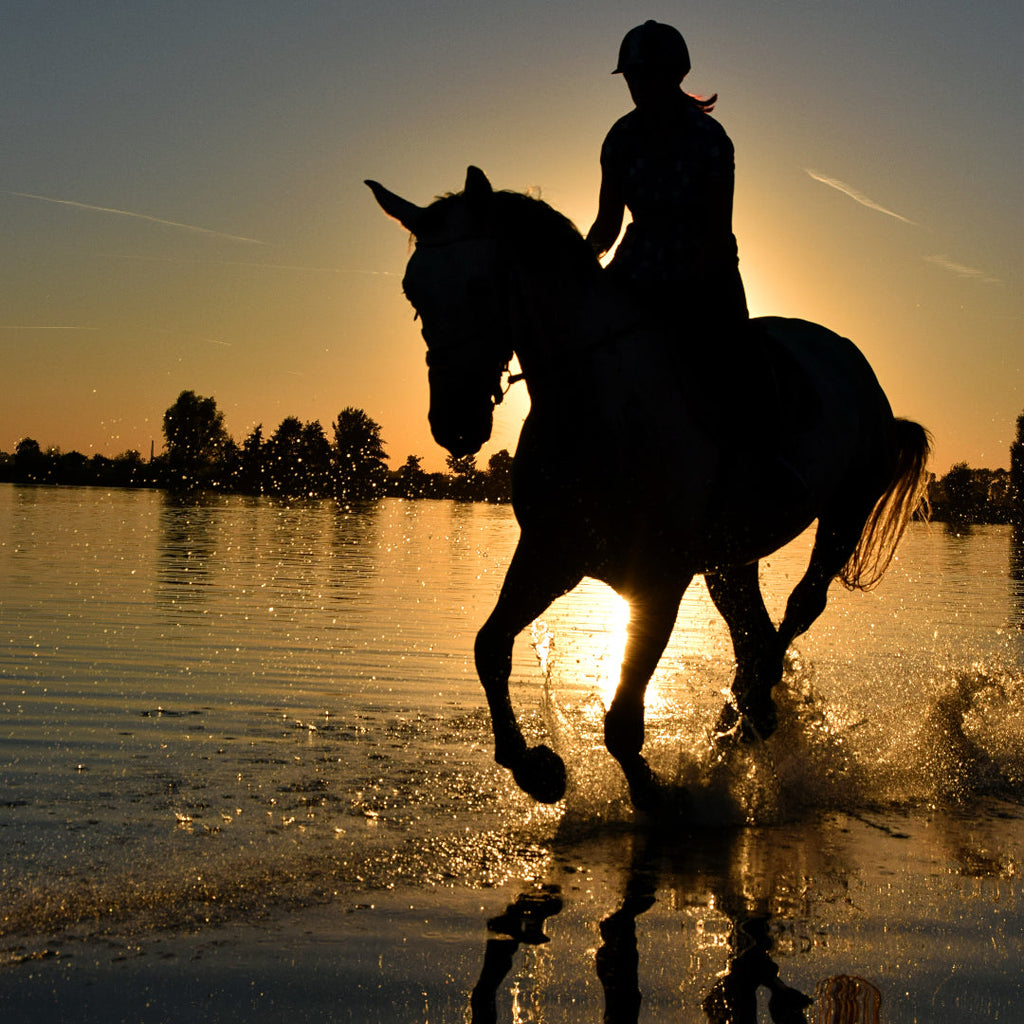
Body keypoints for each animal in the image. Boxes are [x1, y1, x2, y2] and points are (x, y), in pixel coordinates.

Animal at [370, 165, 937, 806]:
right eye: (413, 292)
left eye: (480, 286)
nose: (455, 424)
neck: (598, 408)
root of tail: (850, 358)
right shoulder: (550, 556)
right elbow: (488, 648)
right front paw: (537, 769)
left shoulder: (658, 580)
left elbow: (622, 721)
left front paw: (658, 798)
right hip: (730, 559)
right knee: (752, 629)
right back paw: (745, 718)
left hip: (843, 513)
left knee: (799, 608)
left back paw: (750, 711)